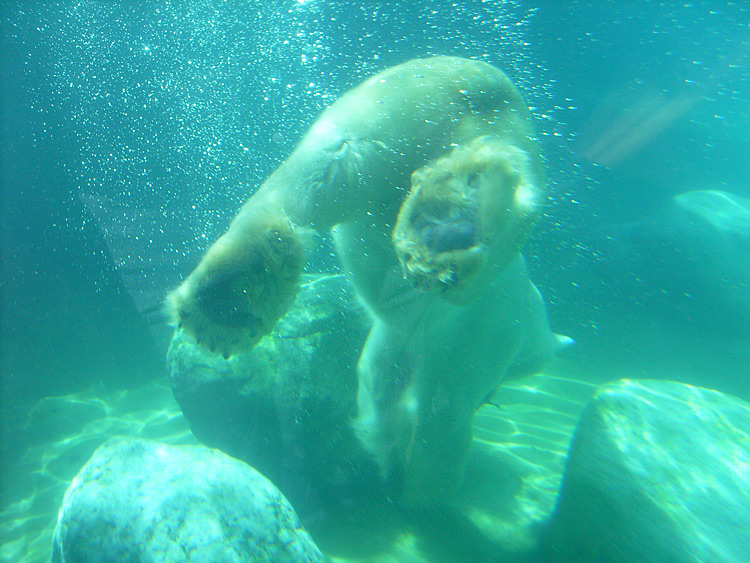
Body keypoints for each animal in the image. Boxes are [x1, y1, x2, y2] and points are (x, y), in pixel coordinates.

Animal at [169, 57, 568, 506]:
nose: (494, 397)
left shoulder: (399, 338)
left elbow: (378, 387)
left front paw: (386, 457)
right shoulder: (483, 338)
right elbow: (442, 419)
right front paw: (424, 492)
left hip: (366, 124)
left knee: (304, 188)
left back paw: (225, 305)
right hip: (495, 114)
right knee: (518, 190)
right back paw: (450, 221)